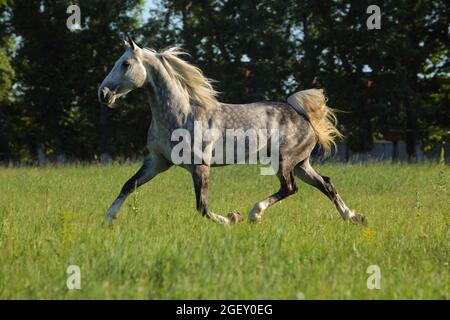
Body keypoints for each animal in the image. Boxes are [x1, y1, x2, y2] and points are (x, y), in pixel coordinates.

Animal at [99, 38, 366, 225]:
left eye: (125, 64)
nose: (103, 94)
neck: (180, 115)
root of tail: (302, 116)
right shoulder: (157, 162)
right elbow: (128, 185)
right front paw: (107, 220)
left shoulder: (200, 166)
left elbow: (202, 207)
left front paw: (231, 217)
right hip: (301, 164)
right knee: (326, 184)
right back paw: (353, 217)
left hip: (285, 161)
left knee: (290, 188)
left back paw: (254, 214)